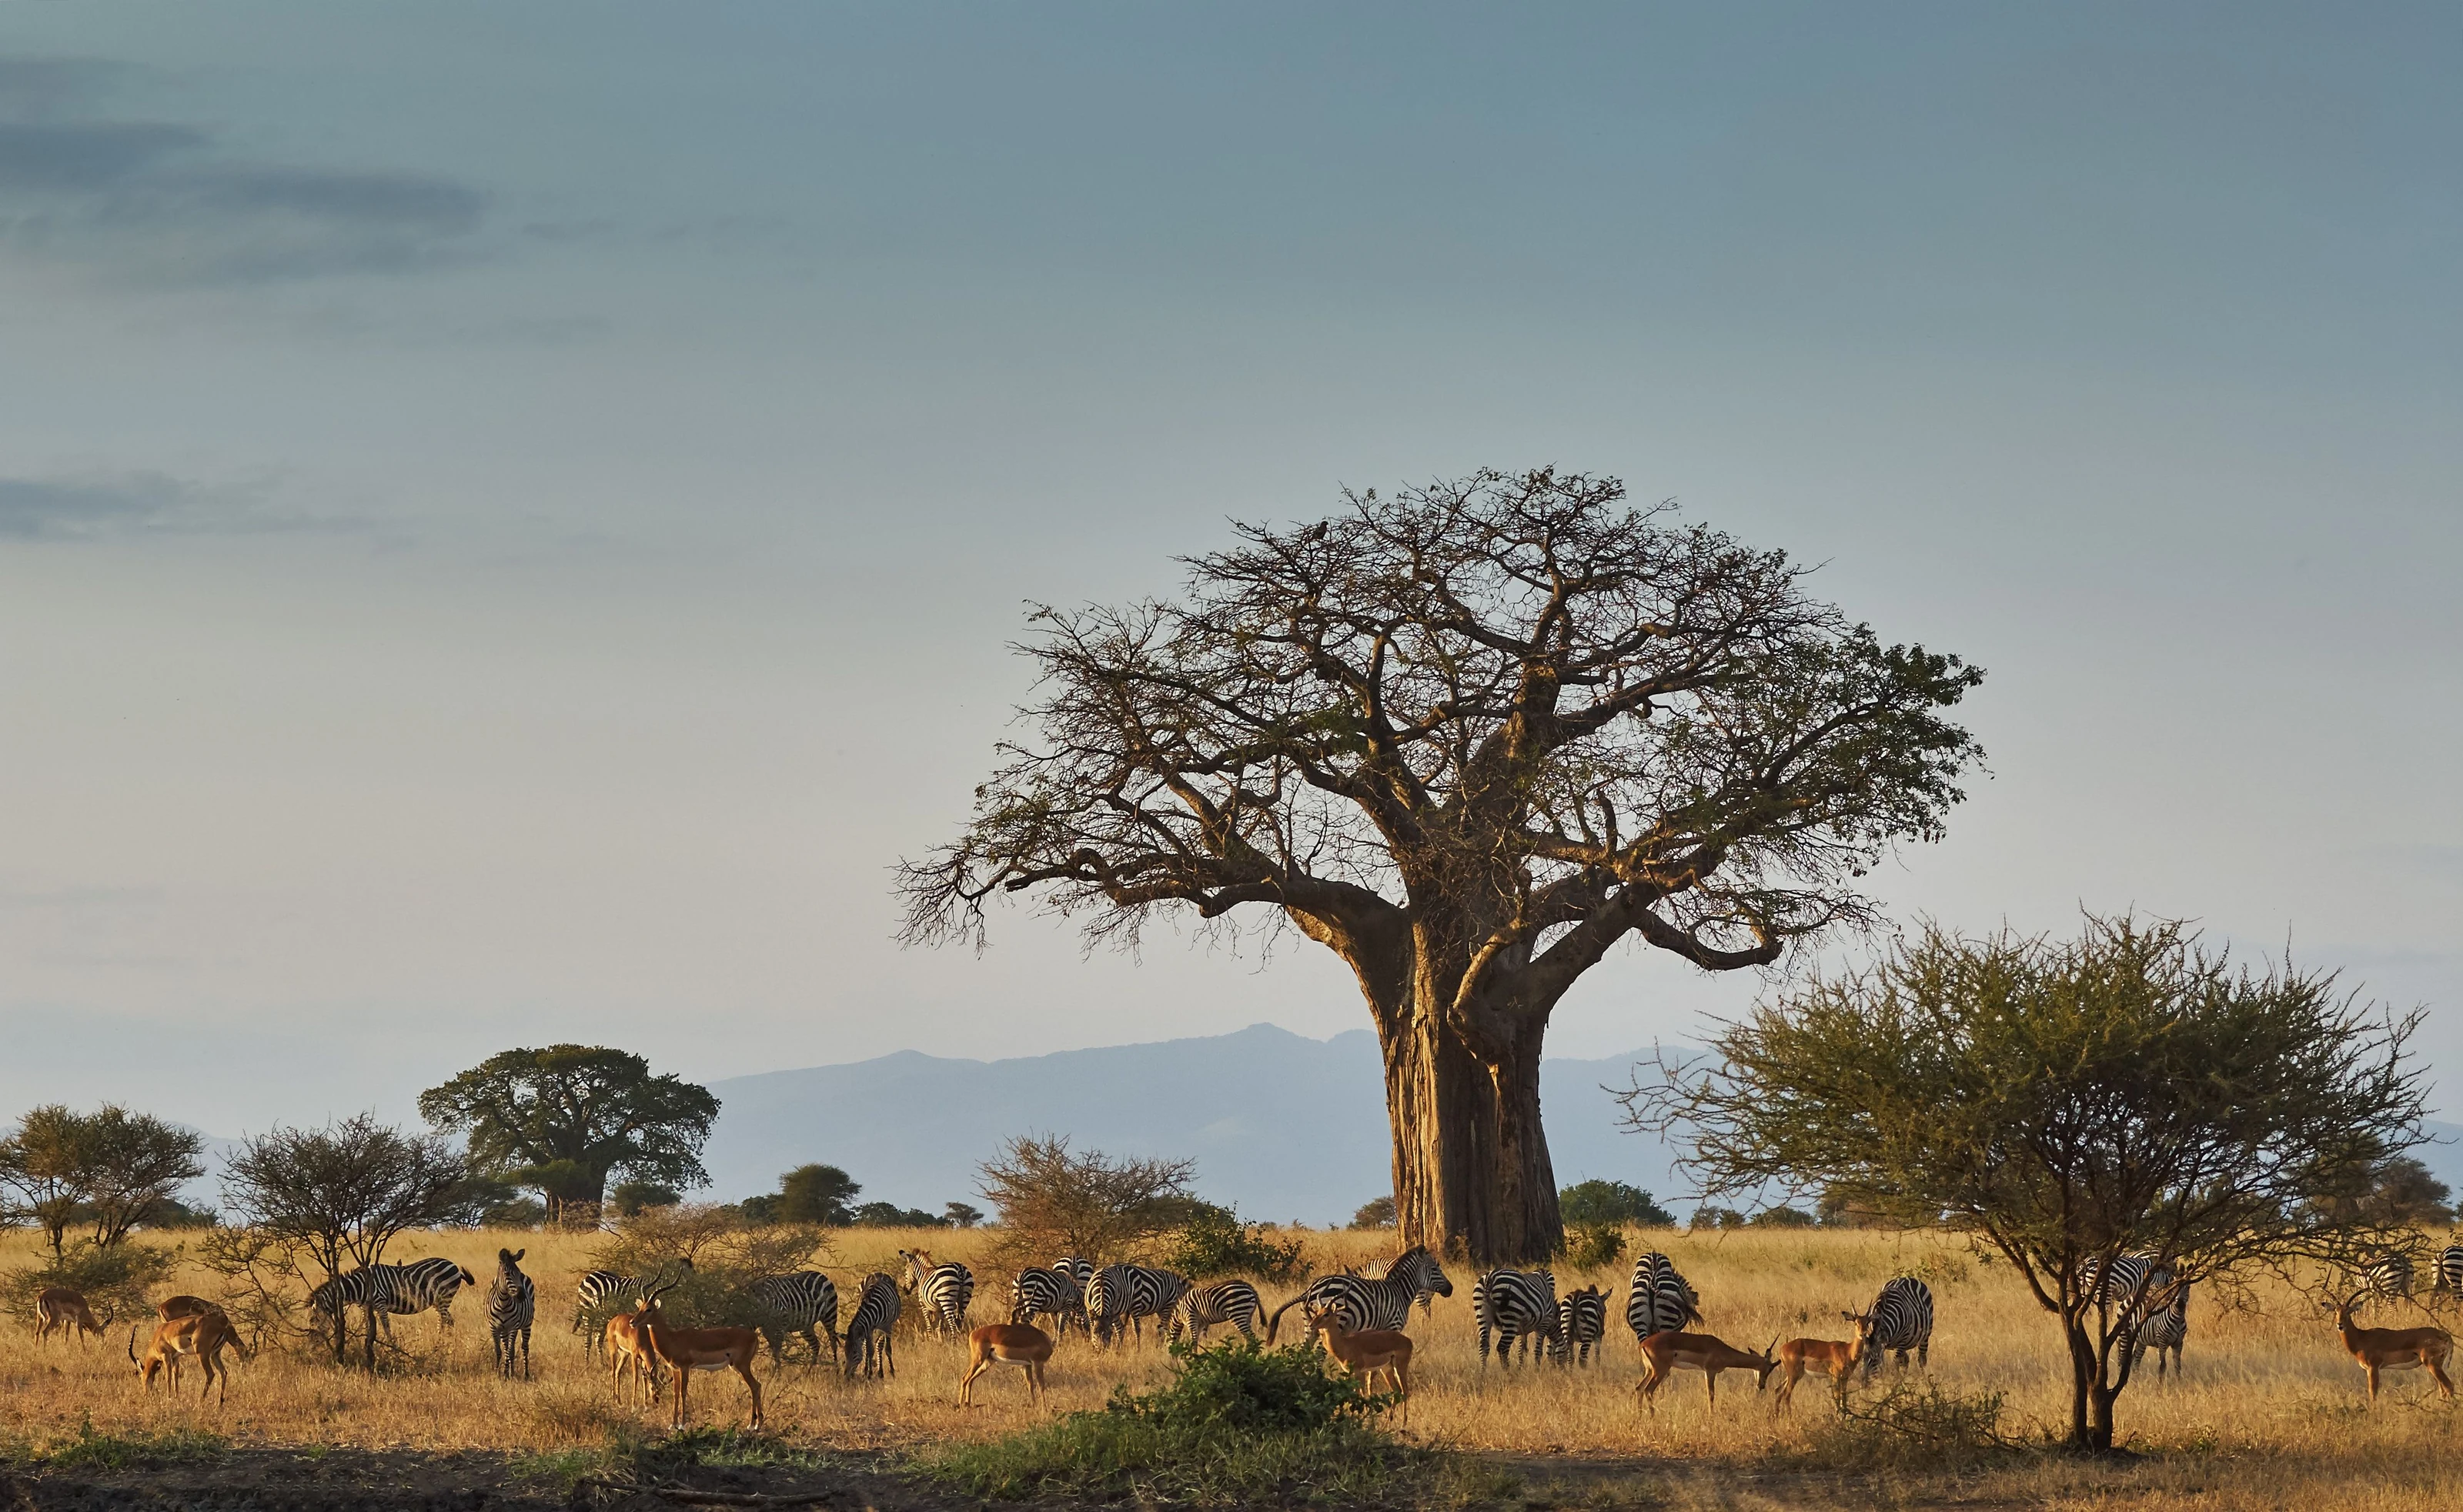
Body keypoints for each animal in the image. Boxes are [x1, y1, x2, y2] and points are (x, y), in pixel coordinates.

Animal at [484, 1248, 535, 1381]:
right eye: (507, 1274)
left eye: (518, 1273)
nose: (521, 1296)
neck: (503, 1304)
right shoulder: (494, 1327)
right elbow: (499, 1350)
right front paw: (498, 1372)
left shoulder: (513, 1327)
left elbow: (509, 1351)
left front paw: (506, 1374)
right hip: (504, 1329)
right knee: (508, 1348)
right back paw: (512, 1372)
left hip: (526, 1324)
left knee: (524, 1348)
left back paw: (525, 1374)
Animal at [843, 1272, 902, 1380]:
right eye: (845, 1352)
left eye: (854, 1353)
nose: (847, 1376)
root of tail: (878, 1273)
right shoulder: (868, 1328)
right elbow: (869, 1350)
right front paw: (868, 1374)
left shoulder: (887, 1326)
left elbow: (888, 1349)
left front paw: (892, 1372)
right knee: (868, 1346)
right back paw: (869, 1371)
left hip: (884, 1327)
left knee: (880, 1346)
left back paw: (881, 1372)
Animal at [1267, 1245, 1454, 1344]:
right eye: (1435, 1269)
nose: (1451, 1289)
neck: (1398, 1289)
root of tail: (1309, 1290)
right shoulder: (1394, 1325)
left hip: (1309, 1324)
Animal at [1472, 1267, 1559, 1368]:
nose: (1554, 1367)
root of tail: (1490, 1276)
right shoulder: (1544, 1322)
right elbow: (1538, 1350)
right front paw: (1536, 1369)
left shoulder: (1523, 1329)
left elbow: (1522, 1350)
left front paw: (1521, 1368)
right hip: (1511, 1316)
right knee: (1502, 1347)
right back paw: (1507, 1370)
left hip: (1482, 1314)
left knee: (1484, 1346)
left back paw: (1483, 1371)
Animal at [1845, 1276, 1934, 1381]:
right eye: (1863, 1358)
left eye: (1875, 1360)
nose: (1863, 1381)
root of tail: (1907, 1278)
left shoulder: (1901, 1342)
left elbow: (1895, 1365)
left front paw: (1895, 1382)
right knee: (1906, 1360)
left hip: (1924, 1337)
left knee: (1921, 1360)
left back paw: (1924, 1380)